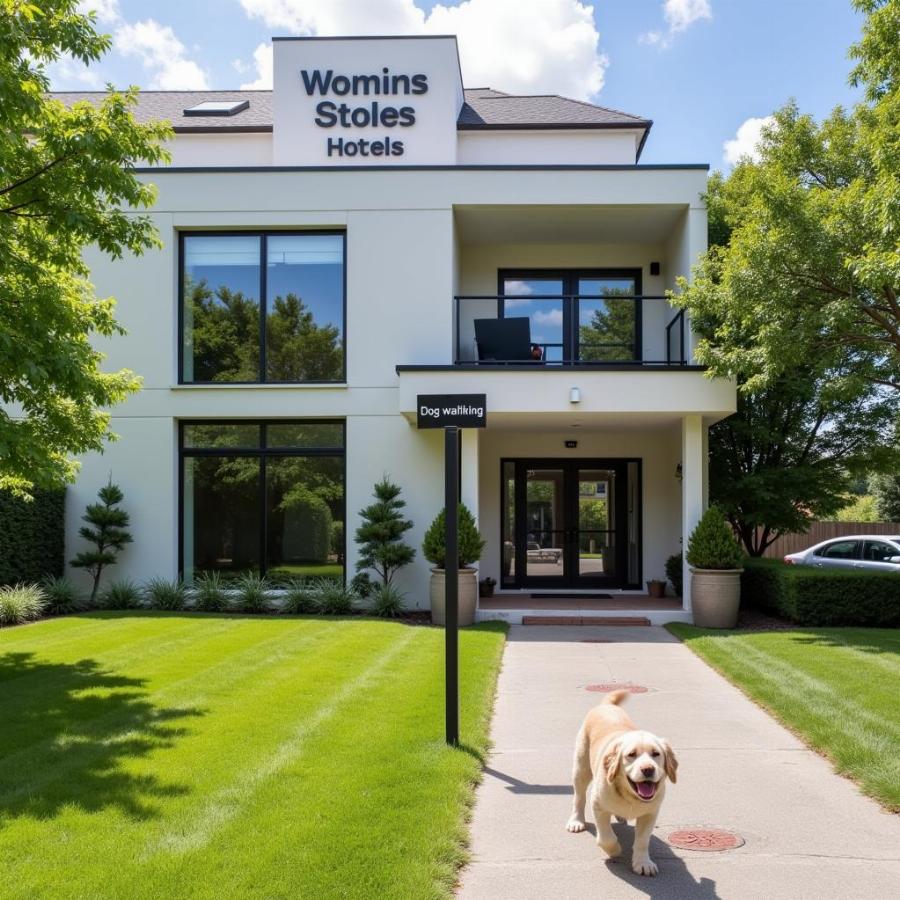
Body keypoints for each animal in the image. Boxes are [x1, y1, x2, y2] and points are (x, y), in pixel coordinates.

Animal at [564, 692, 676, 876]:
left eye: (656, 754)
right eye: (631, 754)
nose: (648, 769)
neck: (630, 796)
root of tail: (606, 705)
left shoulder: (650, 813)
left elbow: (643, 840)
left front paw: (643, 862)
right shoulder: (598, 806)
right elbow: (606, 838)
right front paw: (615, 850)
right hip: (581, 768)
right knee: (579, 797)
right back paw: (576, 821)